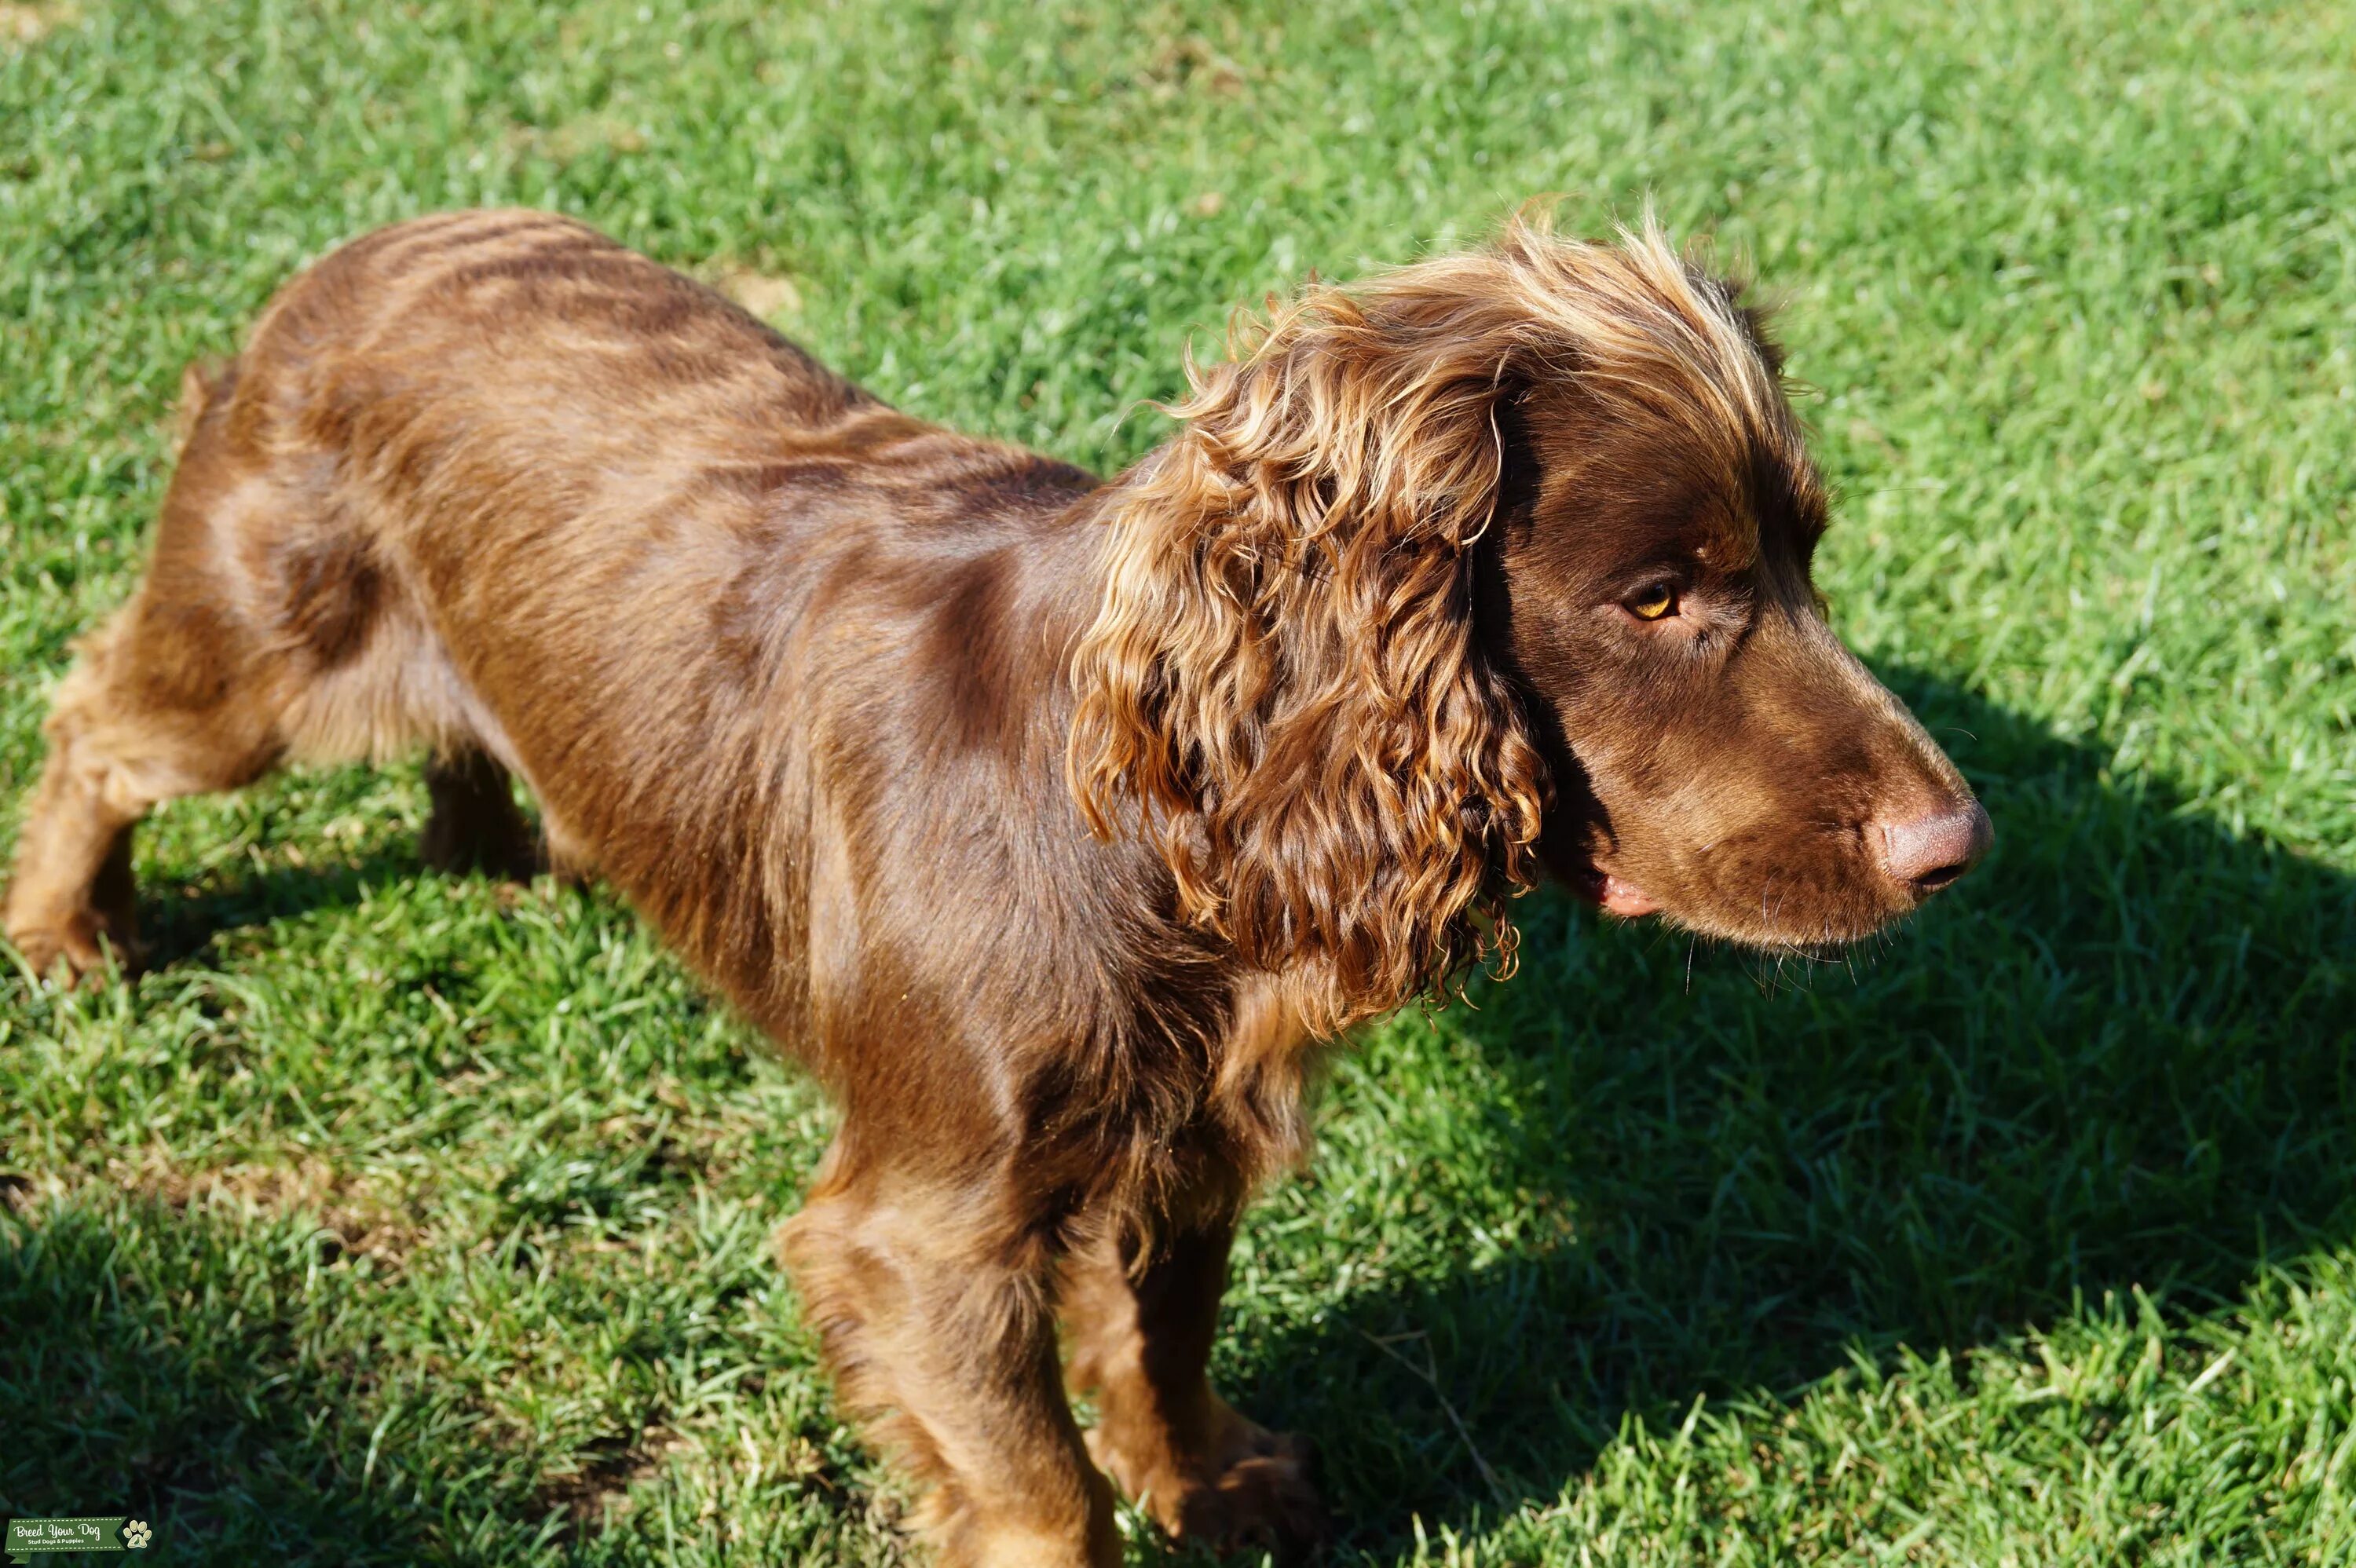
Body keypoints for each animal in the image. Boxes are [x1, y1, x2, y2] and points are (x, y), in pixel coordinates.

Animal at [4, 210, 1988, 1563]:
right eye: (1656, 593)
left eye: (1802, 557)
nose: (1954, 847)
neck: (1155, 810)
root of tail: (357, 248)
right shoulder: (925, 1225)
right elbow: (1034, 1485)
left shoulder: (1180, 1132)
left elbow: (1162, 1342)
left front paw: (1216, 1480)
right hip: (259, 647)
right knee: (99, 716)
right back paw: (67, 932)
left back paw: (495, 846)